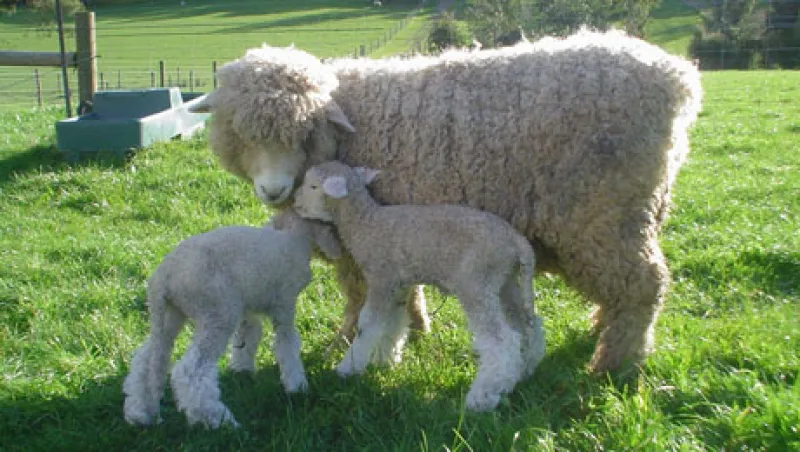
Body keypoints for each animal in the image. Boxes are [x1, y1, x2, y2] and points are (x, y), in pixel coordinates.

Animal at [122, 210, 341, 429]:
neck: (294, 237)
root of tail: (164, 277)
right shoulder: (284, 303)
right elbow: (287, 344)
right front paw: (297, 386)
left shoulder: (247, 306)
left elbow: (249, 335)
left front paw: (242, 369)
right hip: (218, 313)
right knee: (191, 370)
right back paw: (218, 419)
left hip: (170, 315)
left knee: (147, 360)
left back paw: (140, 413)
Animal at [187, 28, 703, 373]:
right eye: (237, 132)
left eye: (303, 130)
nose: (273, 190)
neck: (348, 124)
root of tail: (678, 79)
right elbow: (404, 290)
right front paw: (415, 328)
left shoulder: (359, 241)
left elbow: (358, 296)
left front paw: (346, 342)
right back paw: (603, 331)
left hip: (604, 214)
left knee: (643, 285)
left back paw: (616, 363)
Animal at [293, 161, 546, 411]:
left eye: (313, 186)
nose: (295, 202)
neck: (365, 223)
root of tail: (518, 242)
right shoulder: (398, 286)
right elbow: (393, 322)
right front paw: (385, 360)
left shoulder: (381, 278)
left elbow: (368, 324)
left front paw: (348, 368)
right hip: (505, 281)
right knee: (528, 326)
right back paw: (522, 372)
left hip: (476, 283)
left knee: (502, 340)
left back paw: (482, 397)